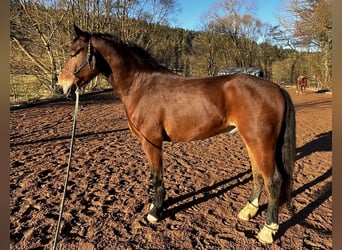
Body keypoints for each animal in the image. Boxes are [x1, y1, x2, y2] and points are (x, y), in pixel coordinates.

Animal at [57, 25, 296, 244]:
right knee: (258, 175)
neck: (140, 85)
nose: (62, 86)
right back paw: (248, 211)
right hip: (251, 141)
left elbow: (156, 176)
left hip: (260, 143)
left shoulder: (152, 142)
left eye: (74, 53)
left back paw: (268, 230)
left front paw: (155, 212)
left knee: (273, 180)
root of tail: (276, 88)